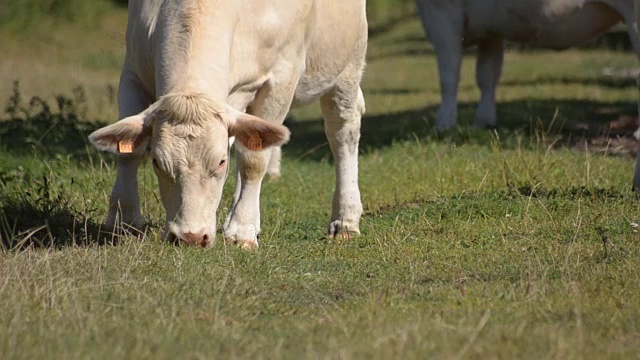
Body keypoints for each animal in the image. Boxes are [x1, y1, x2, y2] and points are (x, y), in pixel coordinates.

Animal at [88, 0, 368, 249]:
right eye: (157, 162)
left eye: (221, 161)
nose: (190, 237)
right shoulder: (133, 71)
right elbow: (128, 154)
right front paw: (123, 222)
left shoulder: (280, 80)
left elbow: (254, 161)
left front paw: (242, 230)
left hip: (348, 65)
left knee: (342, 132)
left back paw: (345, 219)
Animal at [416, 0, 640, 130]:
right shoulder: (492, 30)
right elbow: (487, 75)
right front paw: (483, 122)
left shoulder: (441, 14)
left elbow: (449, 75)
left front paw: (443, 125)